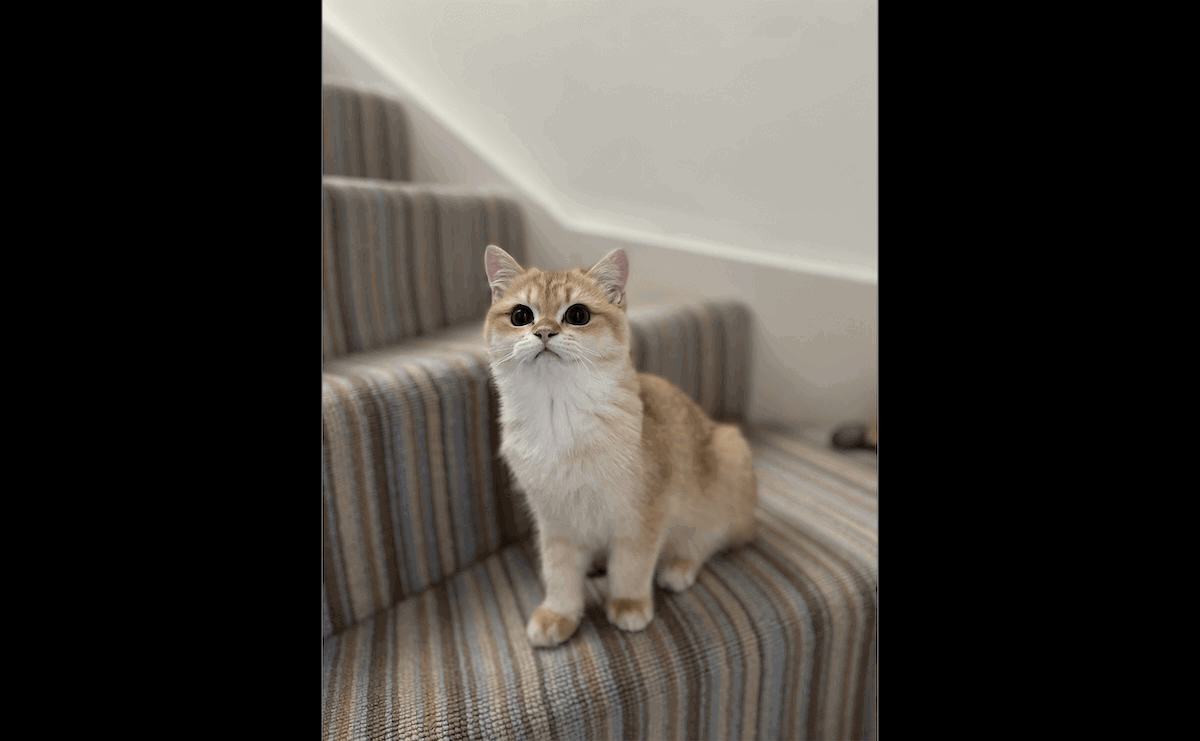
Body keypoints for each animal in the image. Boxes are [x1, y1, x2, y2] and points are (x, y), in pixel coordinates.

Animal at [480, 245, 753, 642]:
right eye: (520, 315)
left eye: (577, 315)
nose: (544, 331)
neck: (558, 416)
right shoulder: (554, 518)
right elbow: (558, 570)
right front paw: (559, 613)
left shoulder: (642, 514)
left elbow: (631, 565)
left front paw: (629, 604)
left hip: (730, 456)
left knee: (709, 537)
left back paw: (680, 565)